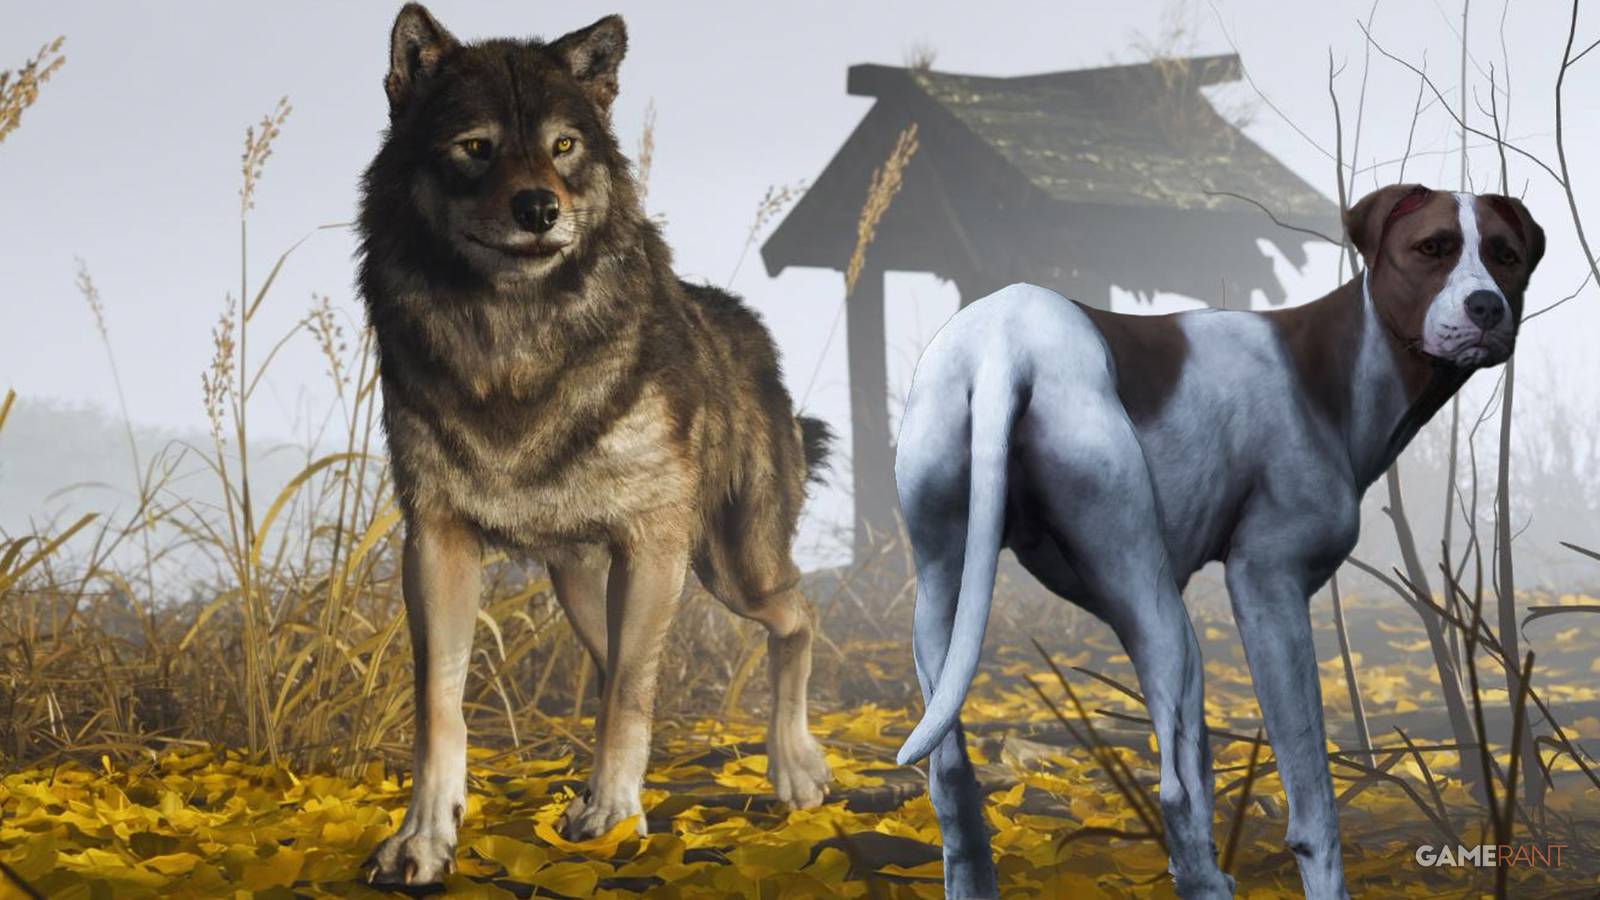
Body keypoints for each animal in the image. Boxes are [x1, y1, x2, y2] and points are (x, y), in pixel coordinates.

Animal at [357, 5, 833, 885]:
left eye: (564, 145)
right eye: (475, 146)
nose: (539, 210)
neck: (514, 343)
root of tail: (743, 321)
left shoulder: (652, 542)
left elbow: (624, 703)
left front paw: (613, 818)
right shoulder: (436, 542)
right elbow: (439, 706)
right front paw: (424, 840)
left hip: (729, 568)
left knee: (795, 619)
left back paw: (795, 769)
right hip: (586, 587)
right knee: (628, 670)